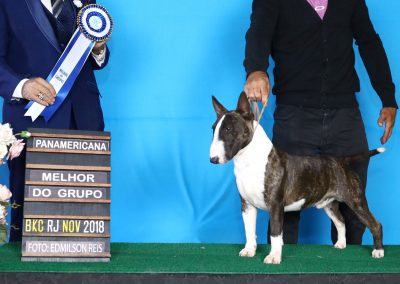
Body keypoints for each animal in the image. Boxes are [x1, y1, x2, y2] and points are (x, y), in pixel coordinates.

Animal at [209, 92, 384, 264]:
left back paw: (378, 251)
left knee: (375, 224)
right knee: (341, 222)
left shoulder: (275, 205)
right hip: (329, 204)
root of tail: (341, 160)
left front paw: (274, 257)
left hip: (356, 201)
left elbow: (275, 233)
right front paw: (249, 251)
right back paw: (341, 244)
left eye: (228, 129)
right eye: (213, 129)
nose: (213, 160)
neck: (248, 160)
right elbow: (249, 231)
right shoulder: (247, 205)